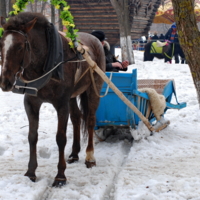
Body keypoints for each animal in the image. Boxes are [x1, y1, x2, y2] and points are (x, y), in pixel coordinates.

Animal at [0, 12, 105, 187]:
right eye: (1, 45)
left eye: (20, 46)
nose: (5, 82)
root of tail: (94, 39)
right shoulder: (31, 103)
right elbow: (32, 136)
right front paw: (30, 172)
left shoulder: (61, 104)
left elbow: (60, 138)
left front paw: (60, 176)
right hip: (72, 96)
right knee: (76, 118)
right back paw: (74, 153)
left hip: (93, 88)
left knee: (90, 120)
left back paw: (90, 157)